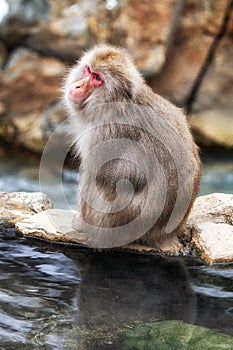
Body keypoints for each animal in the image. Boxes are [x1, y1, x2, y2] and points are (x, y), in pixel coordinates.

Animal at [63, 45, 200, 250]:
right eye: (88, 70)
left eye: (97, 78)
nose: (78, 85)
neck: (114, 102)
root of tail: (163, 235)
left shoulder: (108, 131)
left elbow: (118, 174)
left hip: (117, 220)